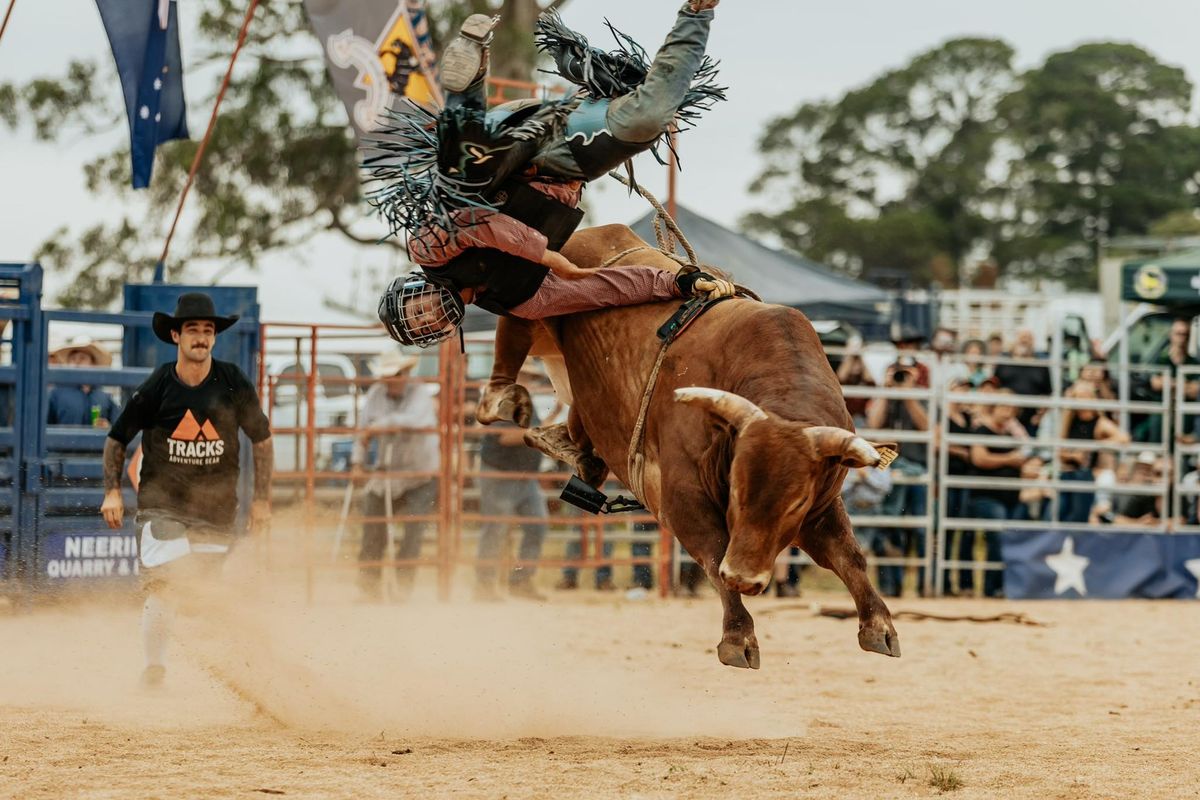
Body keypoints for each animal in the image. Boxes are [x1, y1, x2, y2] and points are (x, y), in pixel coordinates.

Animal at [525, 221, 902, 666]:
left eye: (795, 503)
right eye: (737, 490)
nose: (743, 578)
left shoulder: (820, 504)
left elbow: (849, 556)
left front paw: (879, 625)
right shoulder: (682, 498)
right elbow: (712, 551)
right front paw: (738, 636)